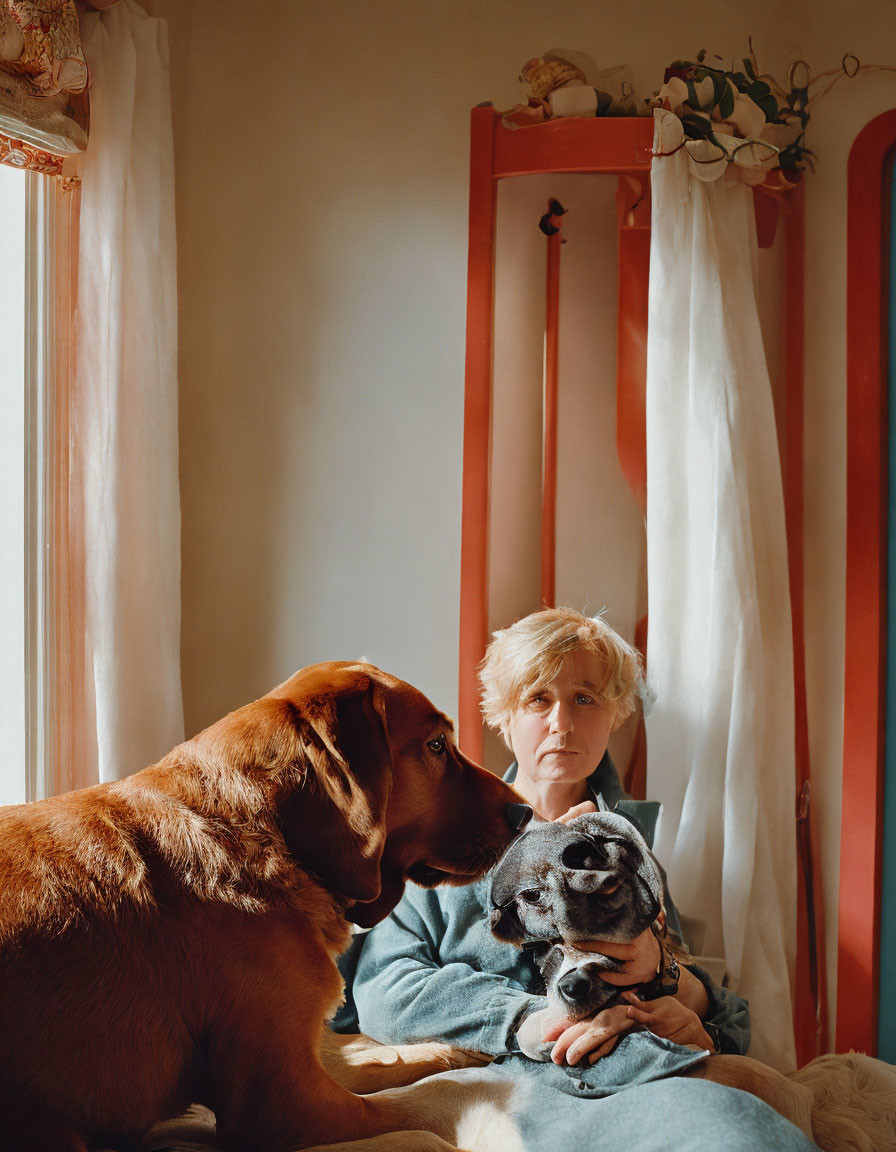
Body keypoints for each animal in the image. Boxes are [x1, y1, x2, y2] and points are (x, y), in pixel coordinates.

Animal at [0, 663, 529, 1152]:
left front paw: (459, 1049)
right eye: (437, 745)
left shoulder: (307, 1054)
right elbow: (419, 1114)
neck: (269, 831)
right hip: (50, 1128)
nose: (525, 813)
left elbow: (392, 1062)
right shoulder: (285, 1102)